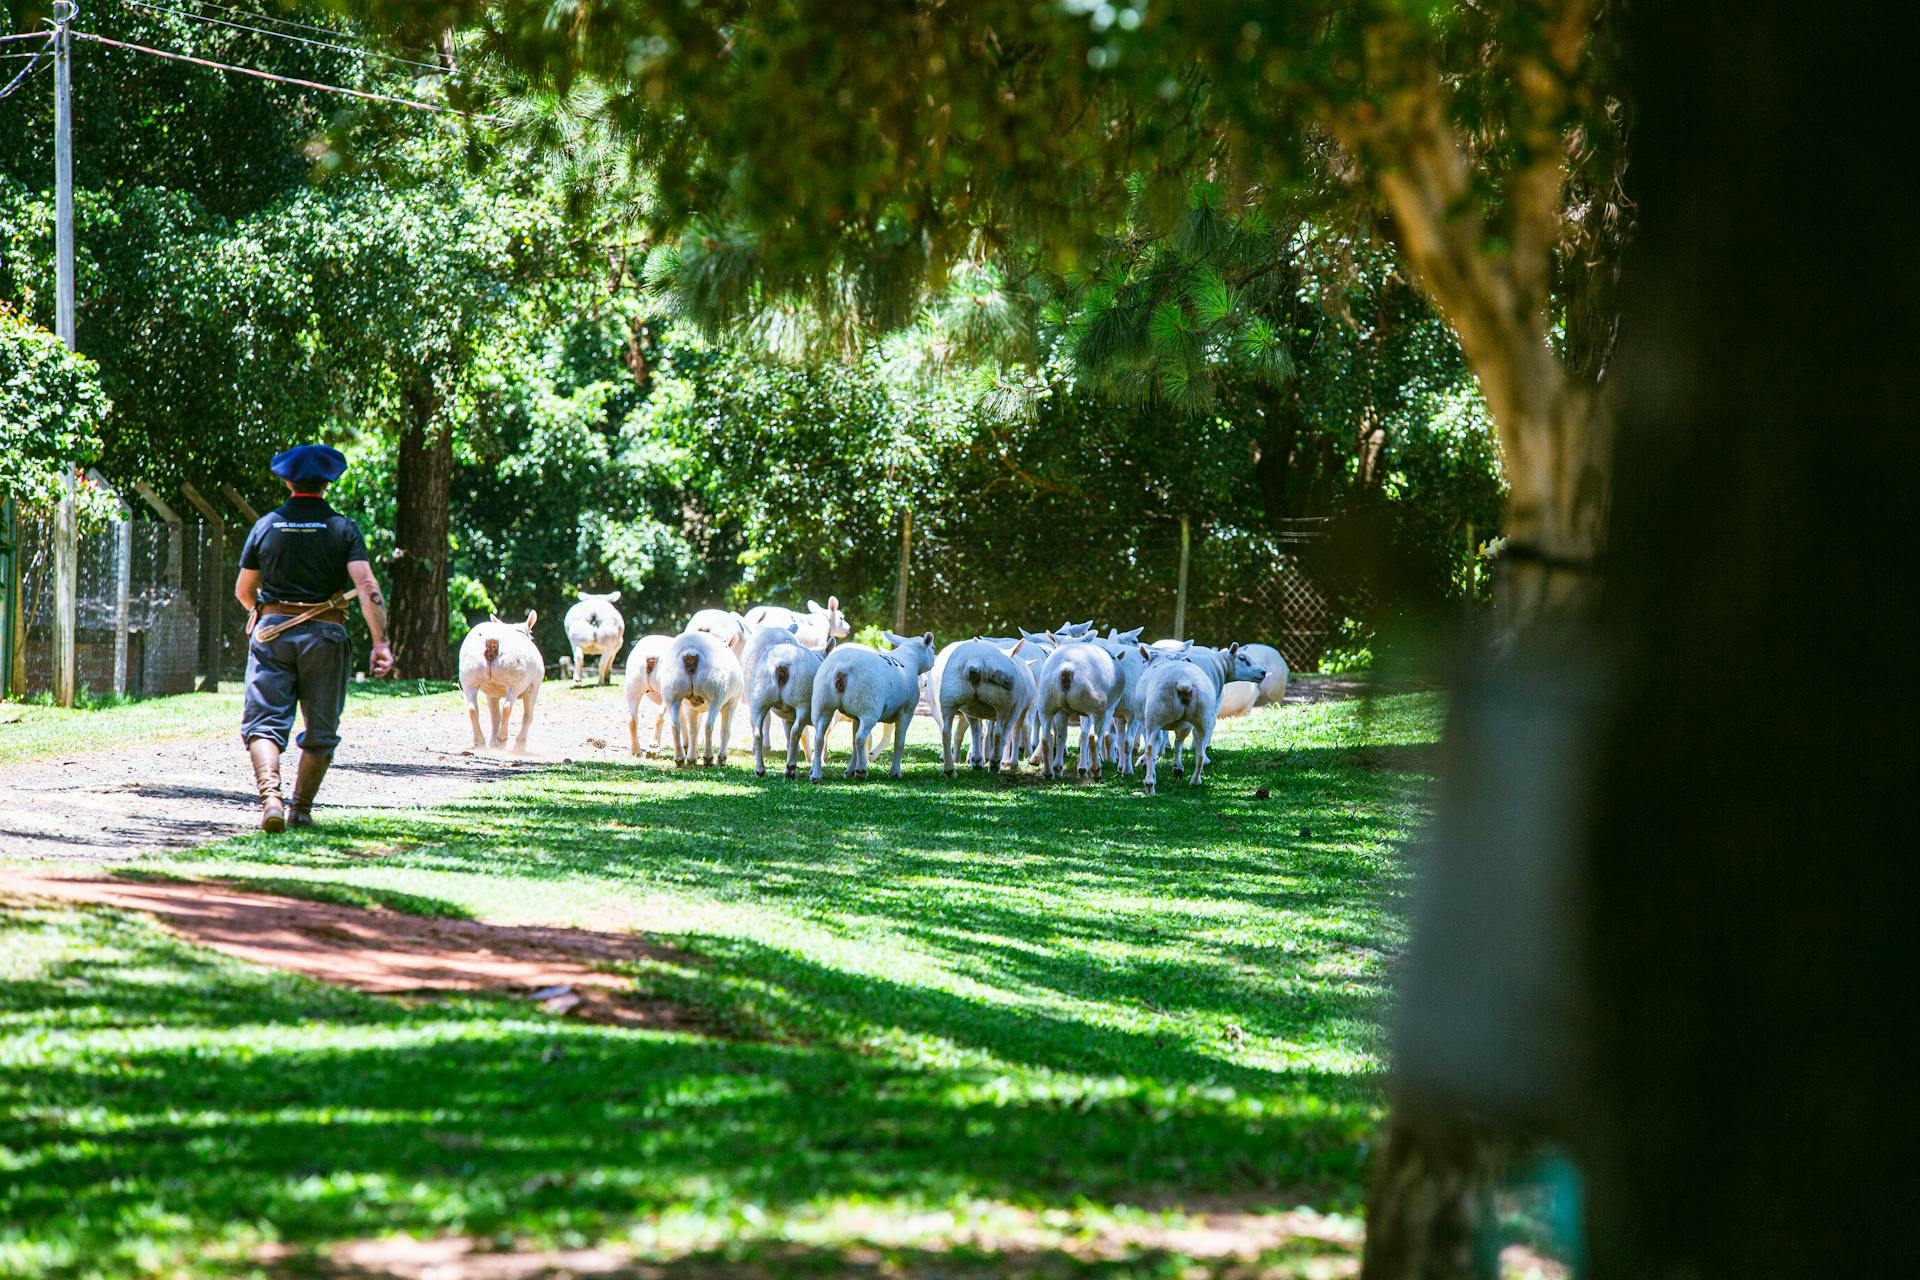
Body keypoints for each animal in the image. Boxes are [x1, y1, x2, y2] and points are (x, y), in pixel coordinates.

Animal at [464, 610, 549, 752]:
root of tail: (492, 640)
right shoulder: (534, 685)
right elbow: (528, 715)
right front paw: (519, 744)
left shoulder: (491, 693)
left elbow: (495, 716)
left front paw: (493, 743)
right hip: (515, 678)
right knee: (508, 706)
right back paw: (502, 739)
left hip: (470, 673)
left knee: (472, 708)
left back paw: (481, 742)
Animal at [664, 629, 744, 767]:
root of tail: (690, 653)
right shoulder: (732, 702)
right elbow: (725, 730)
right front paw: (722, 758)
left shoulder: (692, 707)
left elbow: (694, 729)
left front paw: (692, 757)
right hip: (716, 692)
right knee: (709, 725)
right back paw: (708, 757)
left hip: (672, 690)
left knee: (676, 725)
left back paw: (680, 759)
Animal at [806, 629, 933, 782]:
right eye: (932, 648)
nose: (926, 683)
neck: (910, 658)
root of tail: (841, 668)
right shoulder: (906, 712)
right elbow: (899, 740)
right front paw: (895, 772)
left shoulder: (856, 716)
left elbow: (853, 742)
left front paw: (849, 771)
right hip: (869, 709)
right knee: (860, 738)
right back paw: (862, 771)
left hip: (823, 703)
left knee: (820, 738)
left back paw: (816, 774)